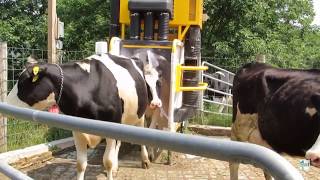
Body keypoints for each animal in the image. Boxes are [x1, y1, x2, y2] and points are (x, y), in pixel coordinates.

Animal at [6, 53, 164, 180]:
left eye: (22, 82)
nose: (5, 103)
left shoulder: (111, 126)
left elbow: (107, 161)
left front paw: (111, 167)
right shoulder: (78, 131)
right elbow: (81, 164)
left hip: (139, 114)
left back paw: (145, 160)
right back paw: (117, 167)